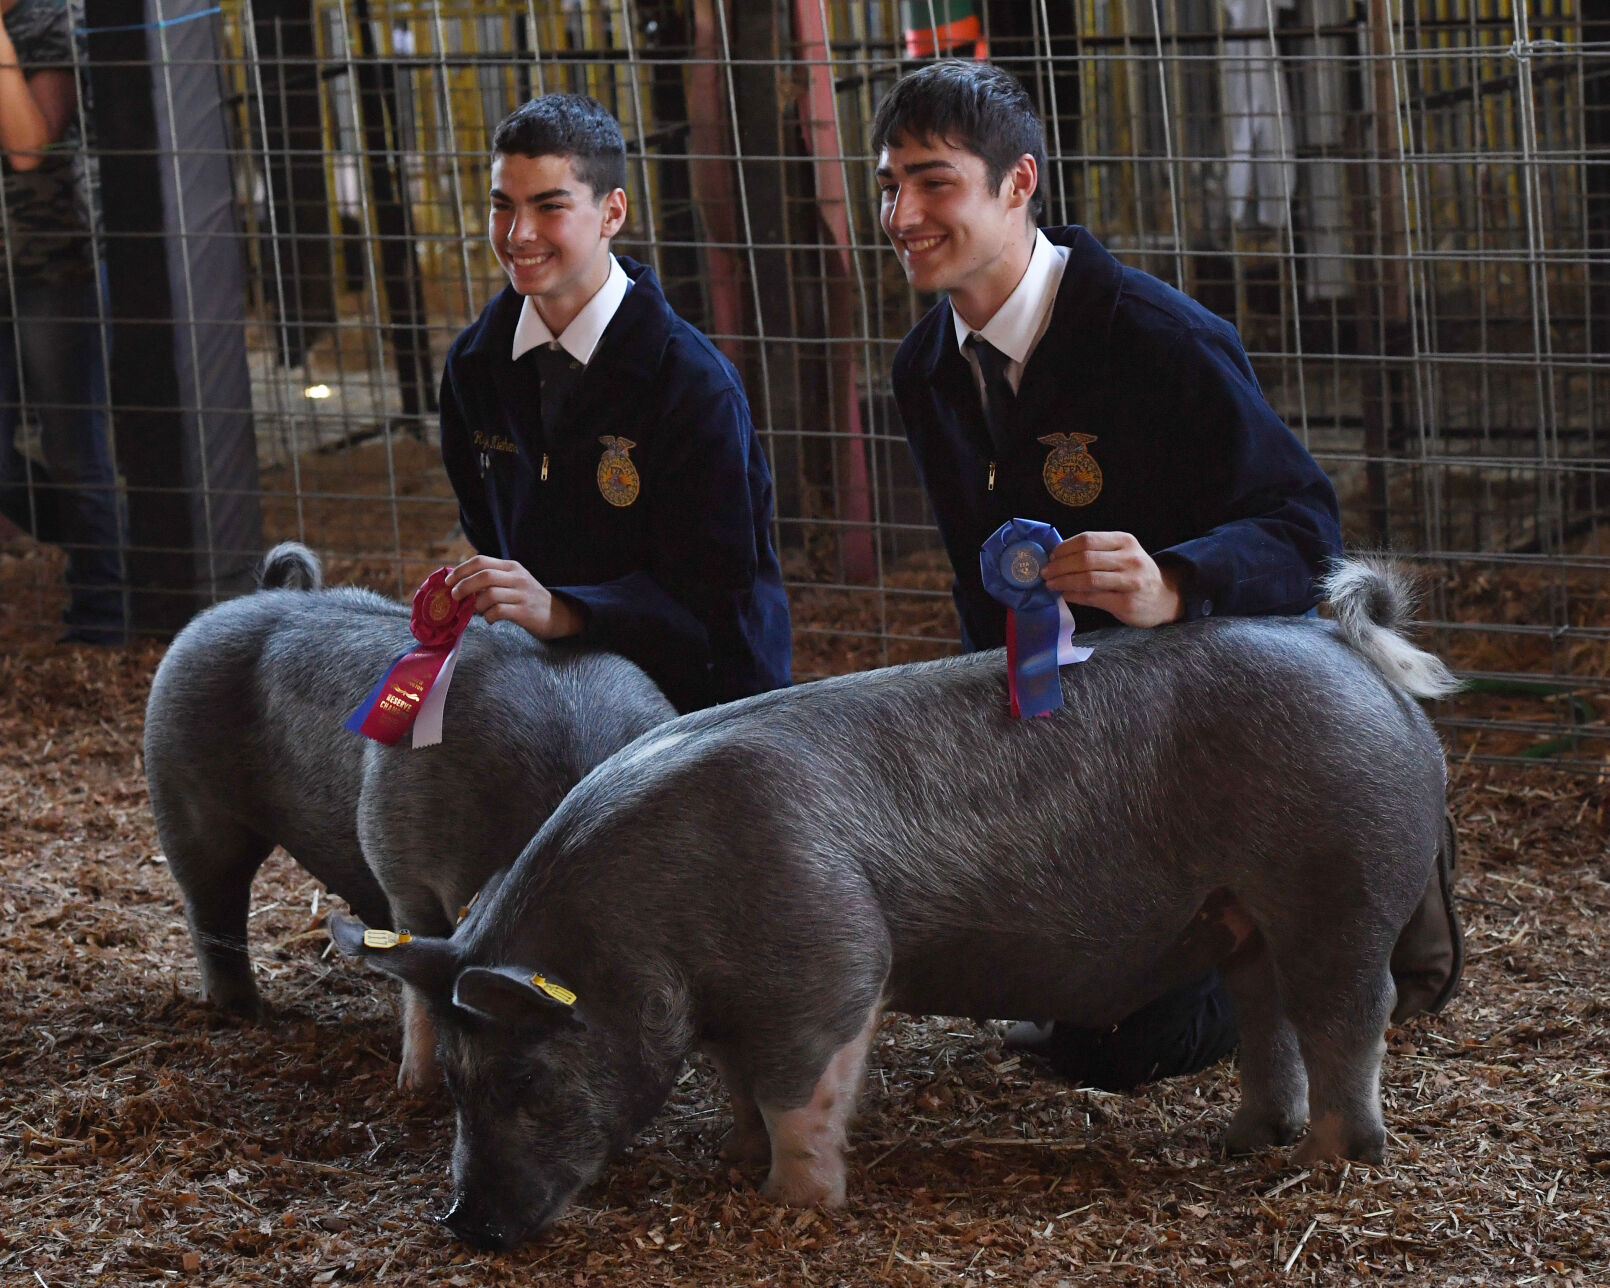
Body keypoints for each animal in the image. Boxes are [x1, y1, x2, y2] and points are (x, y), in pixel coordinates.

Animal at [144, 544, 672, 1088]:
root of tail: (251, 597)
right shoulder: (400, 862)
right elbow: (416, 971)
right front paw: (416, 1086)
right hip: (185, 792)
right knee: (212, 908)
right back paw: (245, 1012)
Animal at [330, 557, 1461, 1249]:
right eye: (457, 1084)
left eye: (526, 1079)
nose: (462, 1224)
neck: (642, 932)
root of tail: (1352, 655)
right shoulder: (734, 1002)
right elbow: (741, 1086)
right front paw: (733, 1158)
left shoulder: (829, 961)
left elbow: (803, 1090)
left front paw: (791, 1201)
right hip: (1243, 915)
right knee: (1270, 1015)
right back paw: (1246, 1138)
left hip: (1338, 882)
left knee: (1348, 1015)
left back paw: (1325, 1158)